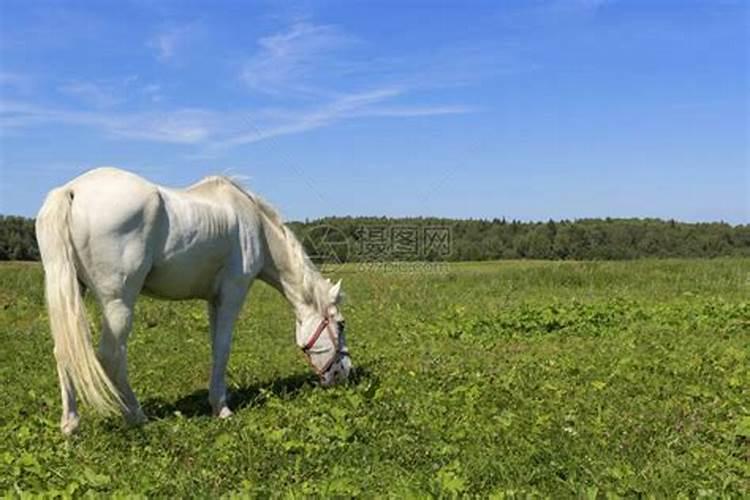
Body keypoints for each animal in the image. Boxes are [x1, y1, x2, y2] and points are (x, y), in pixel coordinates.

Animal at [35, 167, 352, 434]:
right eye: (341, 324)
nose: (346, 373)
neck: (256, 228)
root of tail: (71, 190)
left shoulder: (213, 299)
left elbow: (215, 347)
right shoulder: (232, 293)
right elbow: (223, 348)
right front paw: (221, 408)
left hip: (72, 294)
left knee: (64, 352)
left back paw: (70, 425)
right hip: (118, 303)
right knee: (111, 356)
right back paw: (136, 415)